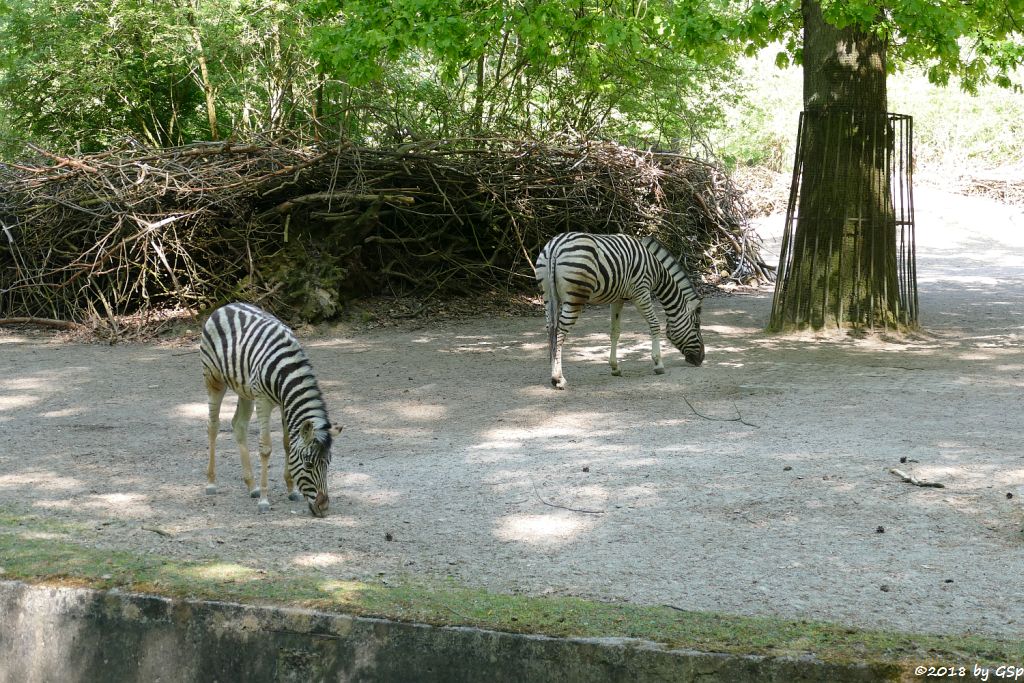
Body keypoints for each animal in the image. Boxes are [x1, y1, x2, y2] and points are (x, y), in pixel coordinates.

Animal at [197, 301, 342, 516]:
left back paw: (252, 486)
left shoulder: (284, 403)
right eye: (308, 464)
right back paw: (211, 483)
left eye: (328, 463)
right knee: (212, 426)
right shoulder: (263, 400)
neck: (287, 371)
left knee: (239, 425)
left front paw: (291, 490)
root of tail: (227, 306)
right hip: (213, 380)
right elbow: (265, 448)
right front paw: (264, 500)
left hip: (245, 390)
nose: (323, 508)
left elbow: (288, 443)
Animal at [536, 232, 704, 389]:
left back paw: (553, 374)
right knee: (560, 332)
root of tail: (555, 246)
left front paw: (615, 367)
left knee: (550, 330)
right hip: (575, 297)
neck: (656, 269)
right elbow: (655, 324)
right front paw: (658, 364)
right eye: (696, 326)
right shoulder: (641, 292)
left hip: (547, 295)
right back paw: (558, 378)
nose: (701, 359)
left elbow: (615, 332)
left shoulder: (617, 299)